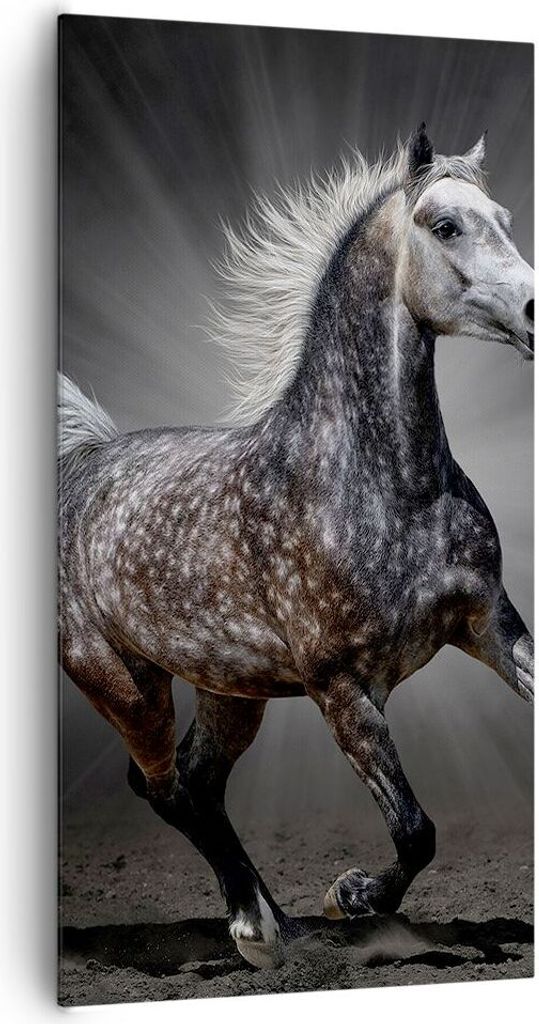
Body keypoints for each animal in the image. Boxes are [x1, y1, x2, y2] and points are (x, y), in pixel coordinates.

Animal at [58, 125, 534, 970]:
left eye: (504, 218)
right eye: (445, 225)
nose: (537, 310)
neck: (384, 484)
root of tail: (82, 468)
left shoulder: (488, 624)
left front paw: (339, 903)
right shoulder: (340, 686)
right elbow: (415, 830)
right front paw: (351, 895)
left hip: (228, 689)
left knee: (195, 783)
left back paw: (277, 922)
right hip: (122, 683)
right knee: (163, 787)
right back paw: (259, 929)